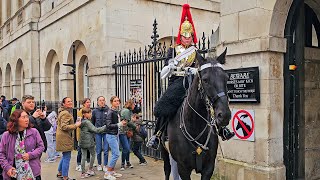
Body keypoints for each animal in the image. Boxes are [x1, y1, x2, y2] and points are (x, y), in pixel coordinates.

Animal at [161, 49, 231, 180]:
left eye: (226, 78)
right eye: (205, 79)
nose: (224, 115)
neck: (194, 127)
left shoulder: (209, 168)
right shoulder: (183, 168)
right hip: (164, 151)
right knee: (167, 170)